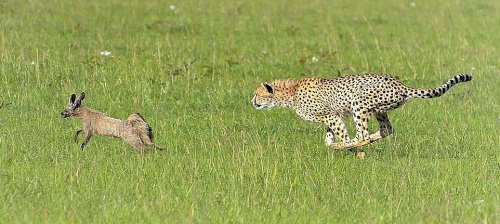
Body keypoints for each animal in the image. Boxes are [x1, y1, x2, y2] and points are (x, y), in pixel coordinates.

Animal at [250, 73, 472, 154]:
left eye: (257, 94)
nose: (251, 102)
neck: (291, 93)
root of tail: (400, 84)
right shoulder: (332, 116)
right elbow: (328, 138)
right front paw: (338, 145)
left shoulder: (331, 115)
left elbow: (342, 136)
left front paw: (347, 148)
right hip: (379, 110)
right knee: (386, 129)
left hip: (360, 102)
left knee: (363, 134)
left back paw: (354, 145)